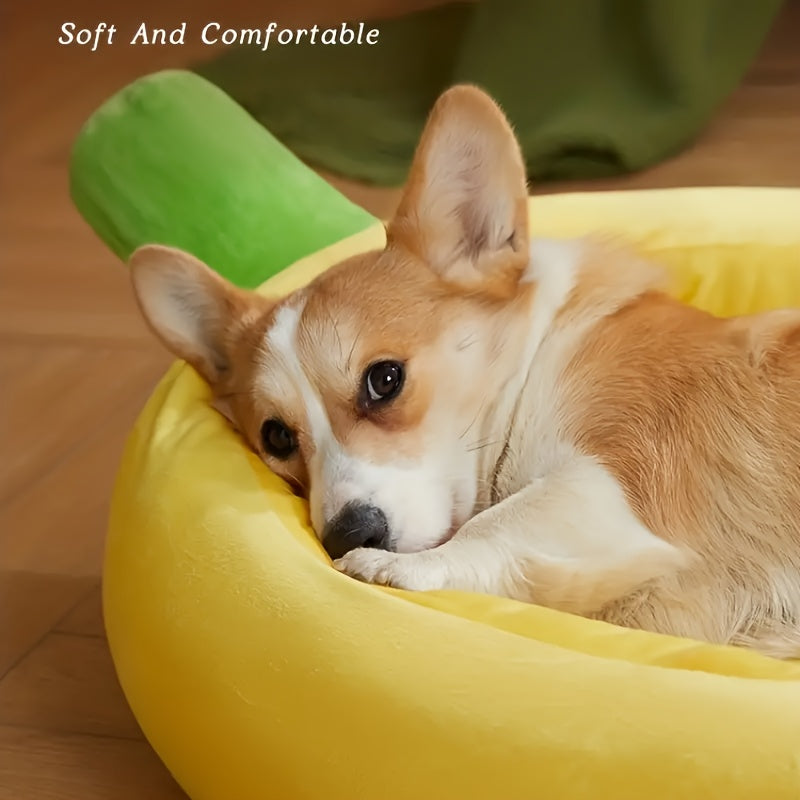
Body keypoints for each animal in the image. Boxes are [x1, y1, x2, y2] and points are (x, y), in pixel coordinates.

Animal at [130, 84, 800, 660]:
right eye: (275, 437)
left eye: (385, 379)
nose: (348, 536)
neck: (535, 358)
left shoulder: (617, 482)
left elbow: (497, 525)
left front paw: (396, 568)